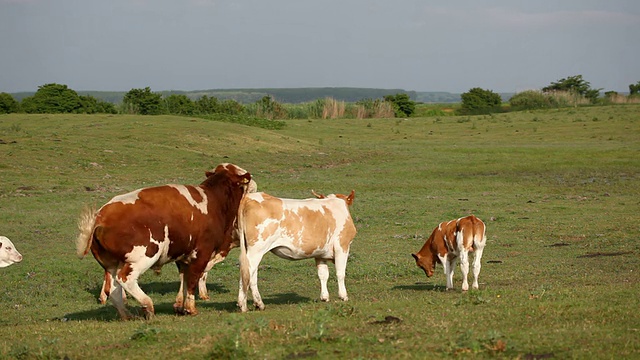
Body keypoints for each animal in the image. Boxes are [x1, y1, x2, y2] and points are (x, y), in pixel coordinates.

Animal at [75, 165, 252, 320]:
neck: (214, 200)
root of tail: (102, 215)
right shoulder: (201, 253)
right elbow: (192, 280)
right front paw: (191, 309)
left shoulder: (183, 257)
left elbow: (184, 281)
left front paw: (181, 307)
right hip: (145, 254)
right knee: (125, 279)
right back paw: (148, 305)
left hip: (111, 263)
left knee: (113, 288)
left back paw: (126, 315)